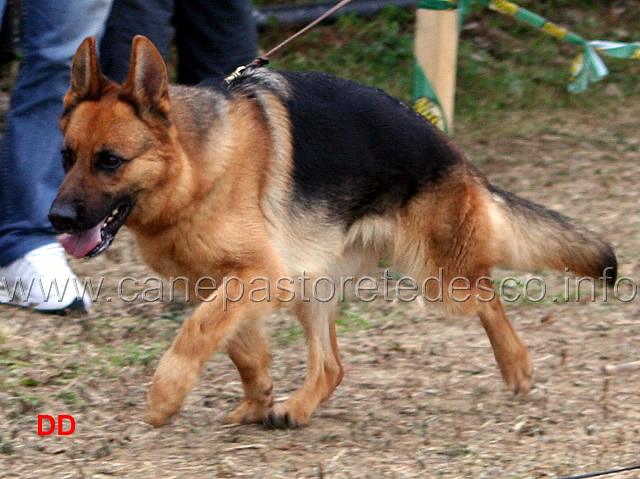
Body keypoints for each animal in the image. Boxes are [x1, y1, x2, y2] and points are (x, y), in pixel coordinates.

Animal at [48, 35, 616, 430]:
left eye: (111, 161)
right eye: (67, 157)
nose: (56, 221)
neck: (197, 169)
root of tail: (456, 156)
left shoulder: (257, 276)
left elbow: (196, 334)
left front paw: (165, 397)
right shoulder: (224, 284)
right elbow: (239, 346)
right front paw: (257, 399)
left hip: (437, 283)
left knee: (487, 295)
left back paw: (516, 365)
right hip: (312, 284)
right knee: (332, 366)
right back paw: (294, 408)